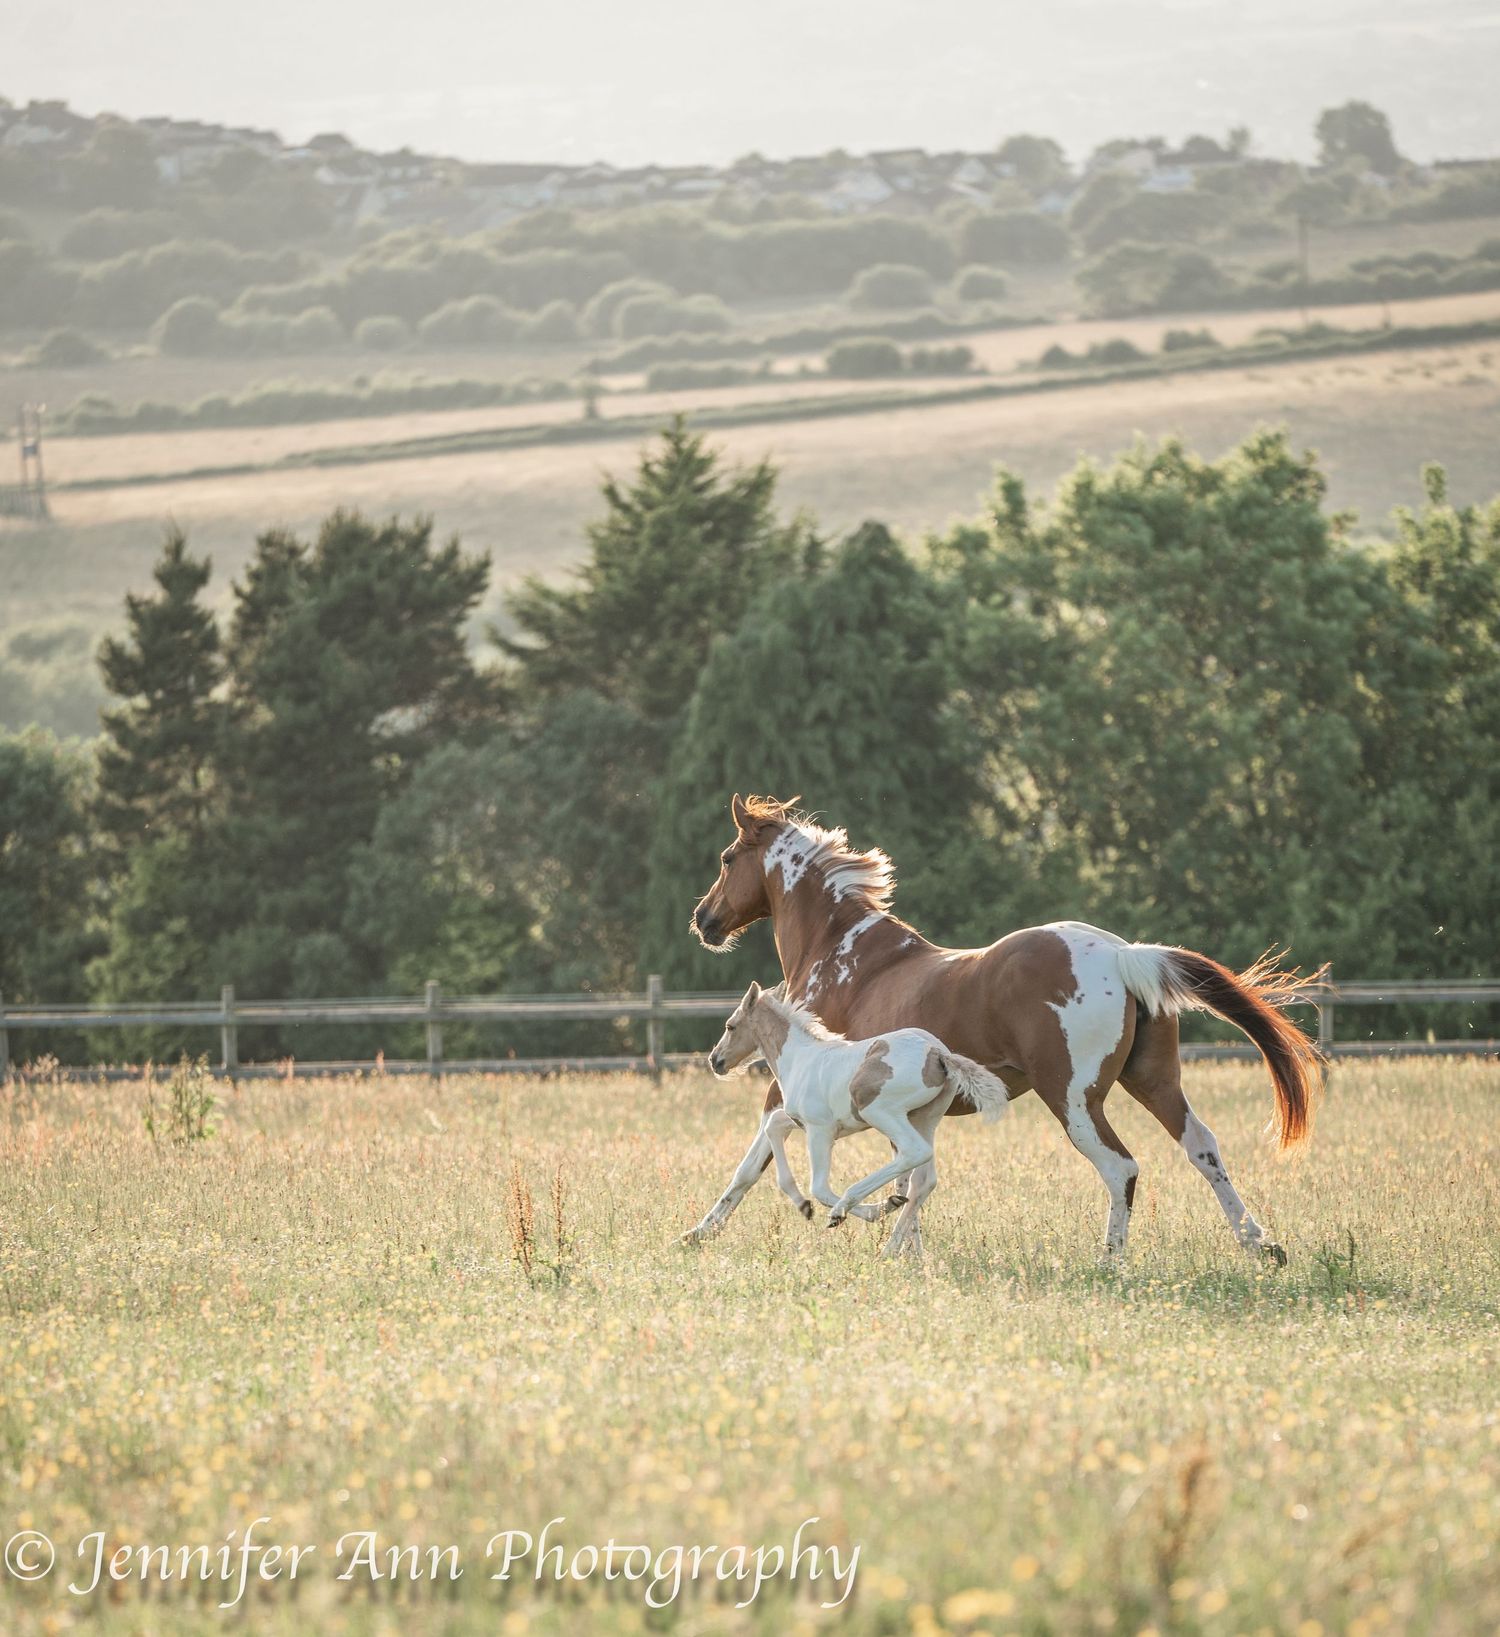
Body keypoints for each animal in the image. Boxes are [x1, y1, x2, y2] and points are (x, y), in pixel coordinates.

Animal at [708, 979, 1008, 1255]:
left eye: (730, 1026)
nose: (715, 1060)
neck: (799, 1059)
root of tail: (937, 1052)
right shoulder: (799, 1121)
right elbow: (772, 1127)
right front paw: (804, 1206)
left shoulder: (820, 1129)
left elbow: (820, 1188)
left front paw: (851, 1213)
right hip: (924, 1118)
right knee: (924, 1181)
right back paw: (890, 1250)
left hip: (879, 1111)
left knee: (914, 1153)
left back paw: (864, 1211)